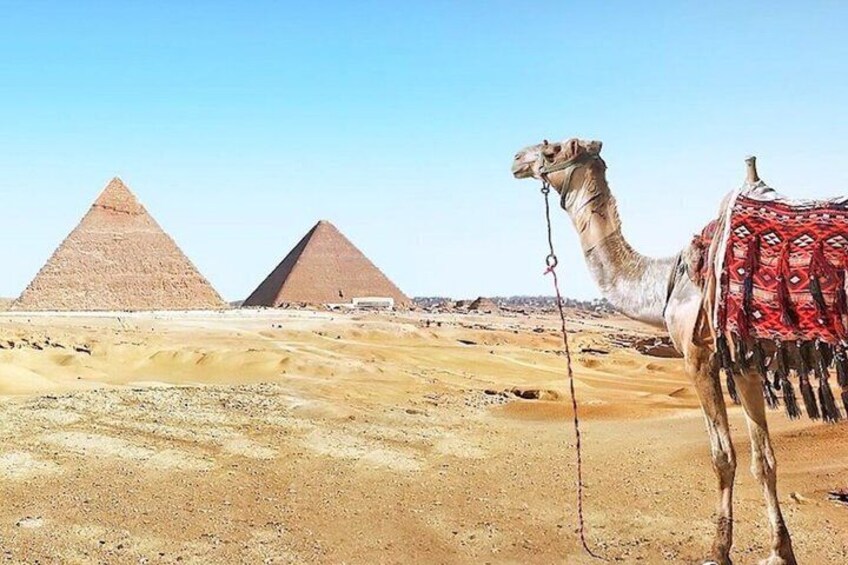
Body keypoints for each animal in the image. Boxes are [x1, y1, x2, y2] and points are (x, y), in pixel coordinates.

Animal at [511, 137, 796, 565]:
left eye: (552, 149)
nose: (516, 159)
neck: (664, 280)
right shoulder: (745, 364)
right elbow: (764, 460)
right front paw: (779, 552)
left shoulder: (698, 356)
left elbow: (723, 457)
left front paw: (718, 551)